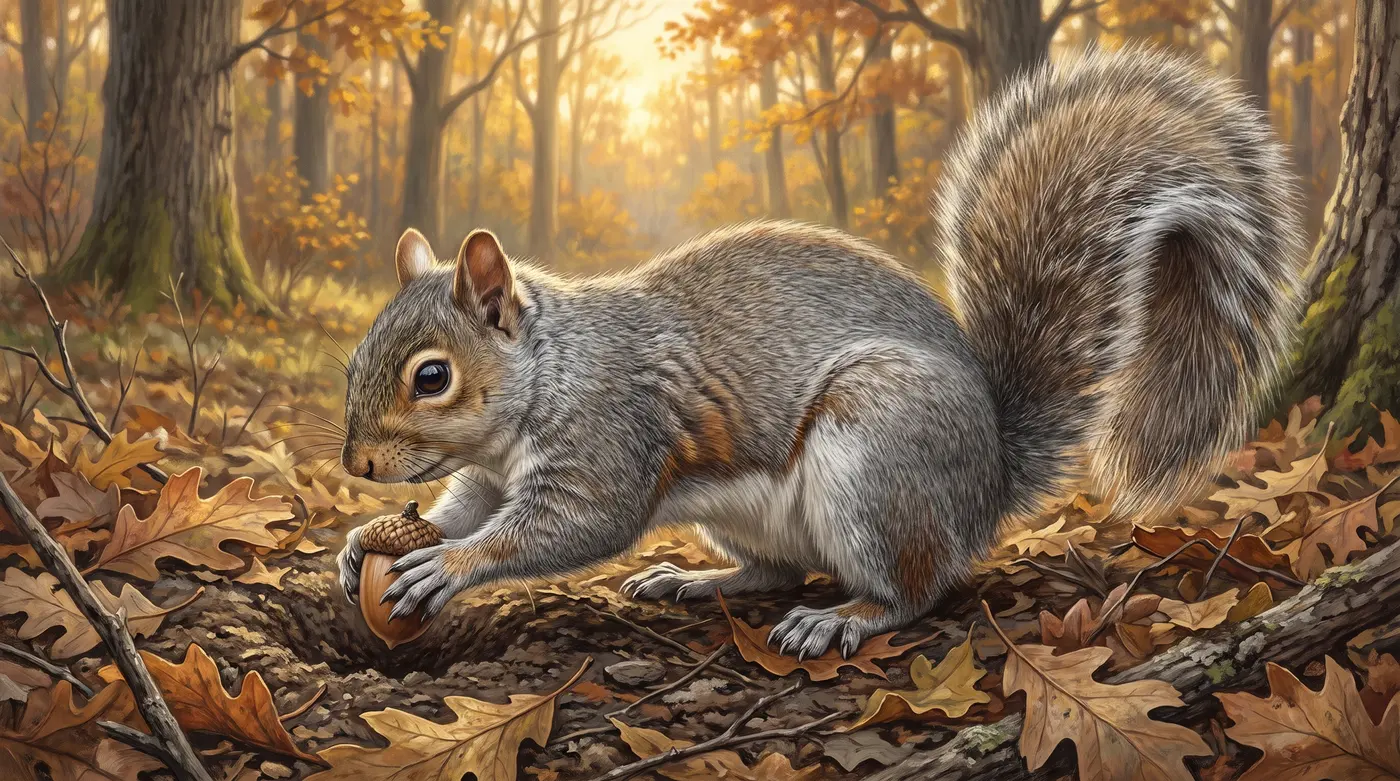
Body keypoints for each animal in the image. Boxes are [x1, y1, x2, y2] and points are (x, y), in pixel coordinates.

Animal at [336, 48, 1305, 660]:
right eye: (353, 364)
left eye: (432, 376)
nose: (356, 464)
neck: (549, 372)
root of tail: (988, 477)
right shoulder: (489, 471)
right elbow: (466, 506)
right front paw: (365, 542)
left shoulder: (609, 433)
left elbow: (571, 525)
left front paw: (448, 564)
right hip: (752, 507)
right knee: (777, 567)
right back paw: (698, 581)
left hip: (875, 453)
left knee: (915, 587)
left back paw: (841, 618)